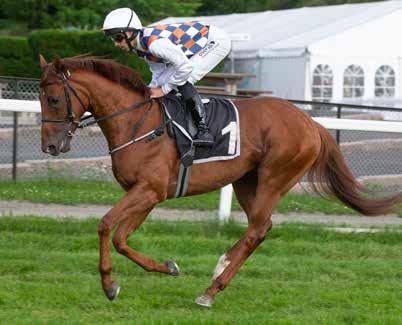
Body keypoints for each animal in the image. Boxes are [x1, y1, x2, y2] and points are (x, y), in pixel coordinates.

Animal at [38, 55, 402, 306]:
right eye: (41, 98)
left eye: (54, 99)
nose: (50, 147)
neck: (137, 123)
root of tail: (312, 124)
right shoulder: (148, 194)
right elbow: (121, 238)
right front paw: (166, 267)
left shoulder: (148, 190)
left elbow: (104, 226)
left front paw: (108, 285)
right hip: (246, 181)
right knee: (261, 228)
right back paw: (219, 270)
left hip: (275, 176)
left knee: (257, 229)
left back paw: (211, 289)